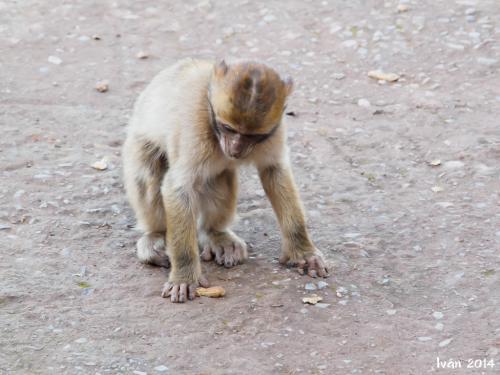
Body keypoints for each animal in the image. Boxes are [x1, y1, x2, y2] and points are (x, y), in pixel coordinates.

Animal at [122, 59, 328, 306]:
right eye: (229, 128)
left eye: (252, 136)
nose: (236, 149)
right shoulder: (195, 125)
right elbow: (178, 187)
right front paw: (184, 275)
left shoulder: (274, 131)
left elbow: (274, 171)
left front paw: (303, 251)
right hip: (137, 146)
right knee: (149, 172)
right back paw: (157, 237)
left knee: (220, 178)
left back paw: (215, 234)